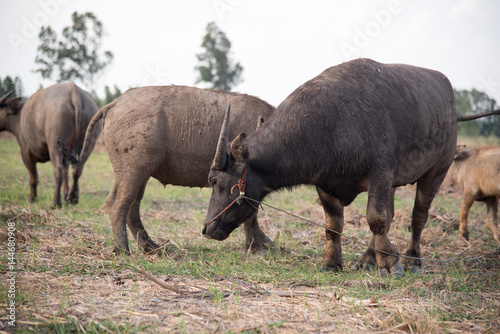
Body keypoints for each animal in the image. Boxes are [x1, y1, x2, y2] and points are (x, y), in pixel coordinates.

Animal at [73, 85, 274, 253]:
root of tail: (114, 104)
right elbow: (251, 213)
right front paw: (257, 247)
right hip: (133, 171)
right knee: (118, 203)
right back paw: (123, 248)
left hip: (138, 173)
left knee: (131, 206)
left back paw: (151, 247)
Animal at [201, 57, 498, 276]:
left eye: (215, 181)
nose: (206, 229)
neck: (326, 124)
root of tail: (450, 103)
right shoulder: (326, 184)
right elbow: (334, 225)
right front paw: (332, 262)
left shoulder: (380, 174)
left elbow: (376, 219)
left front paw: (392, 263)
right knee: (392, 214)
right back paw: (368, 258)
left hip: (437, 169)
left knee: (418, 216)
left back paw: (412, 260)